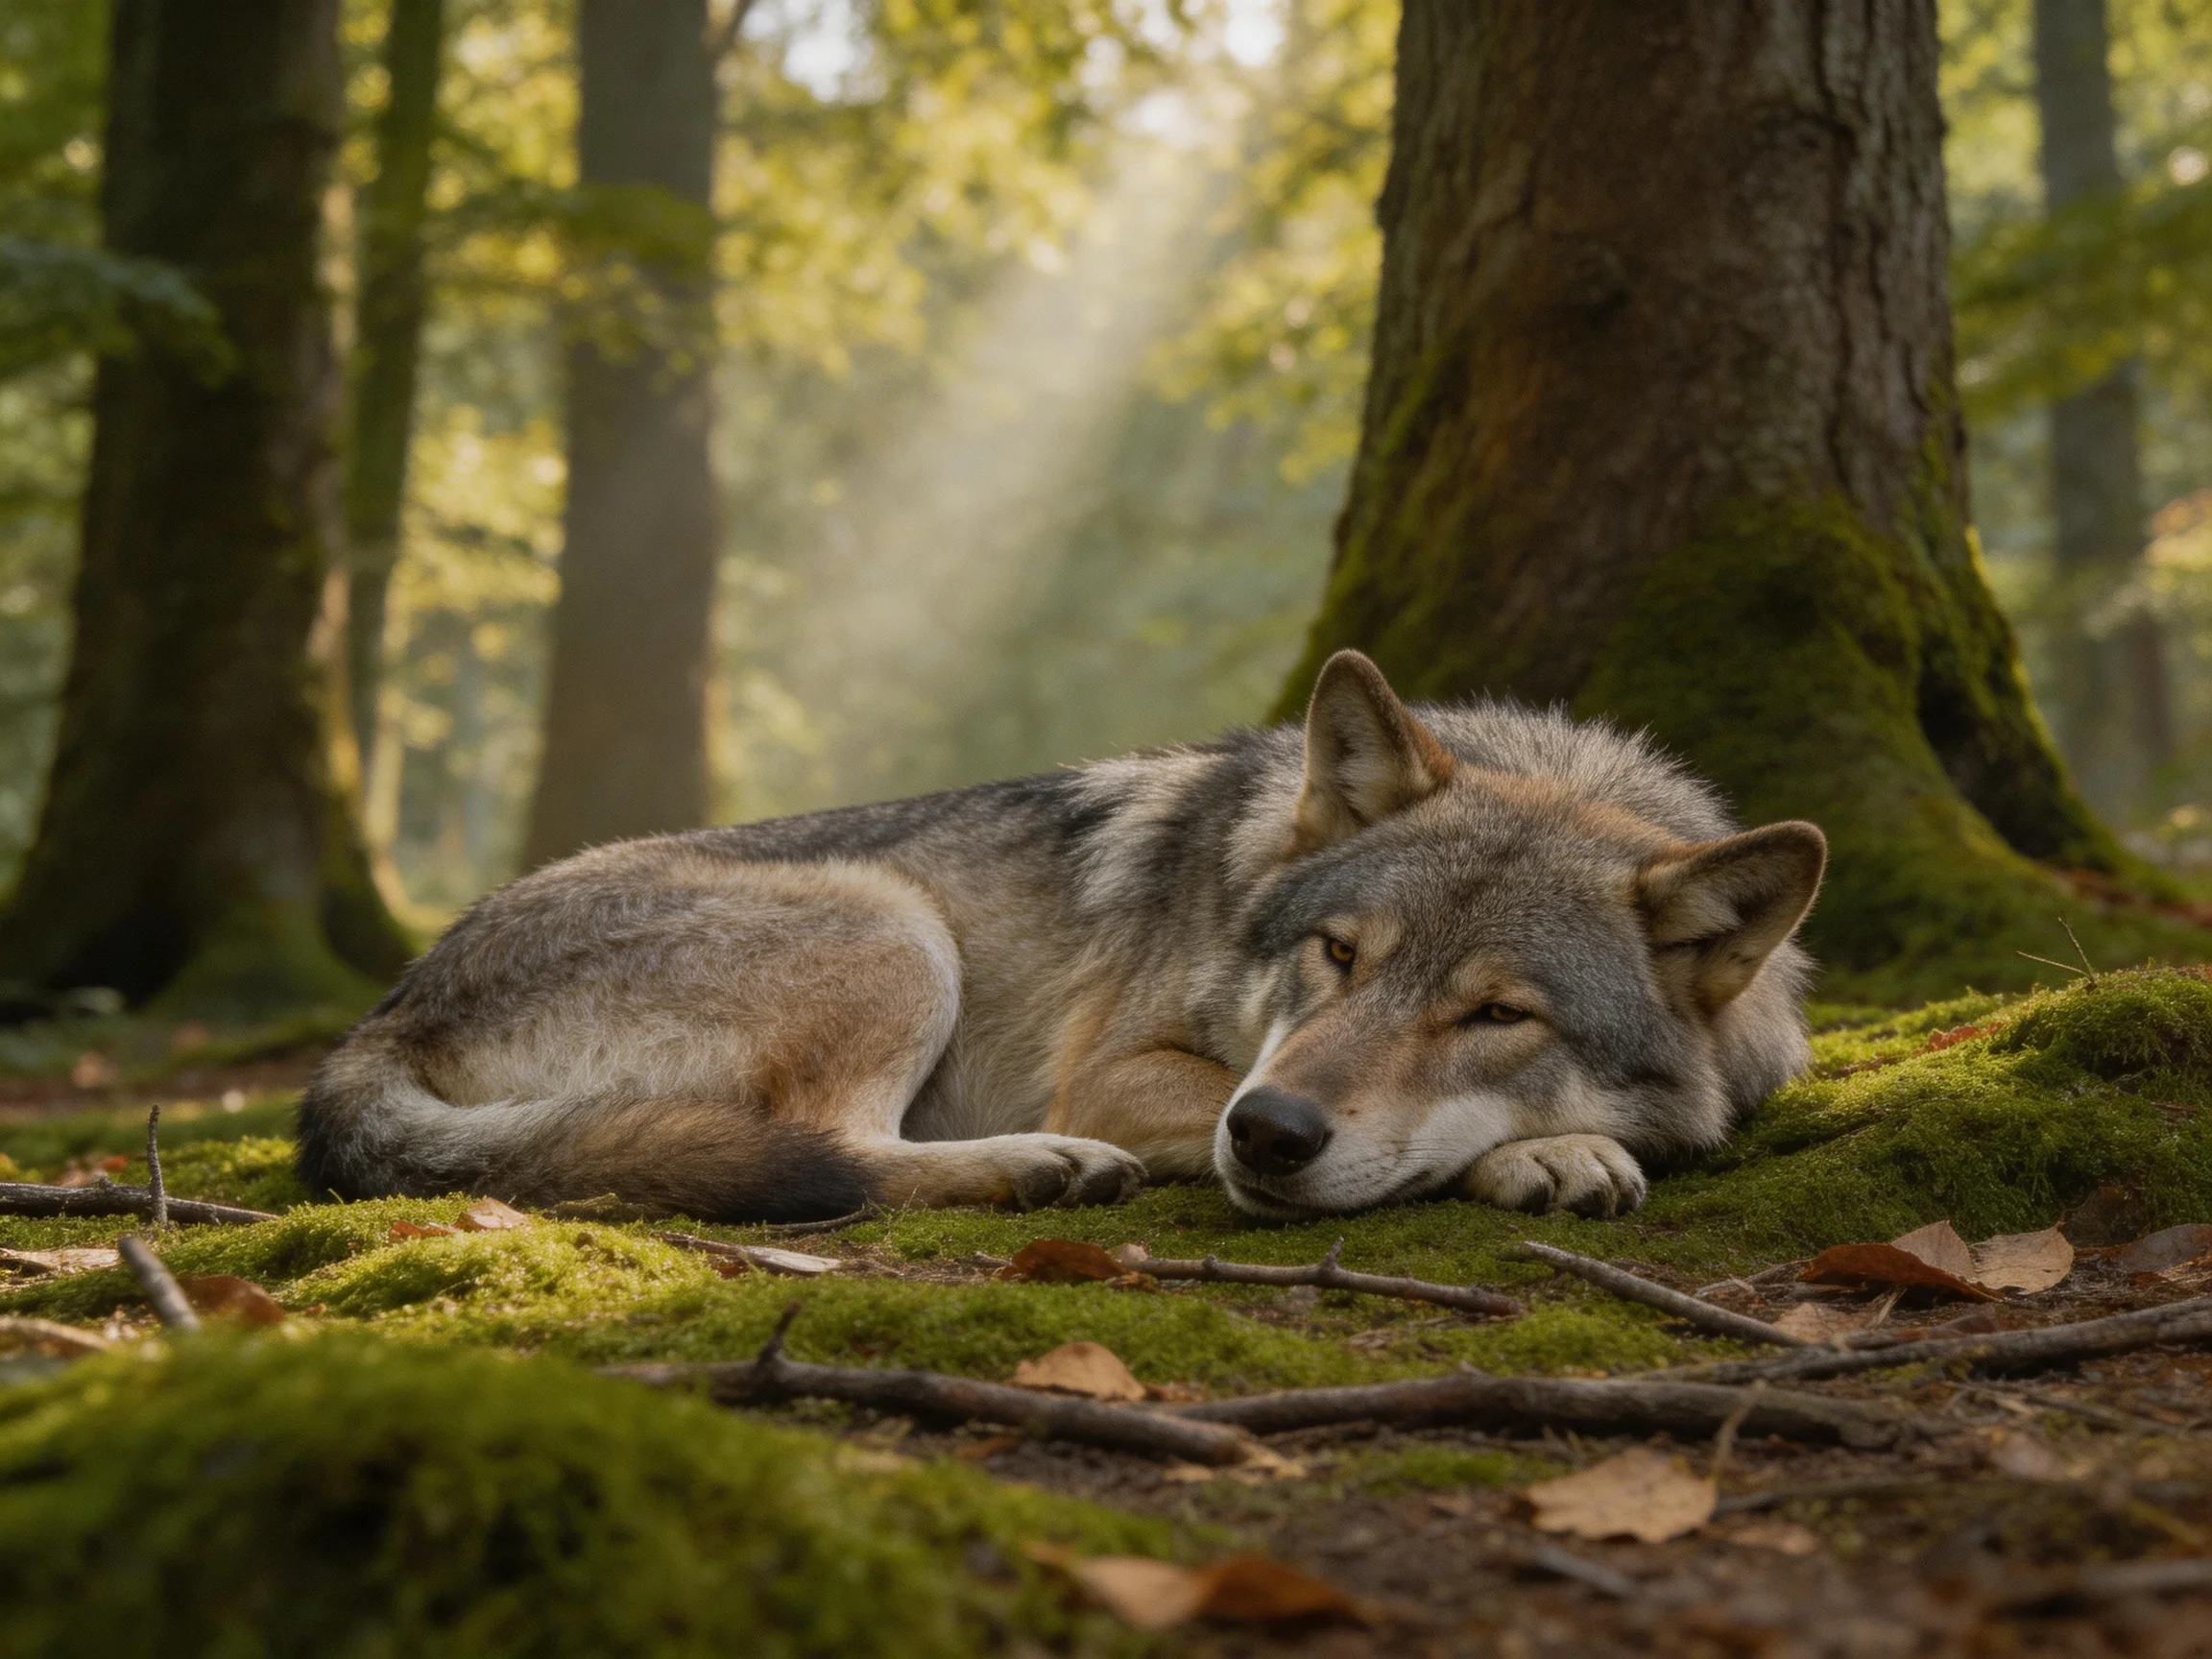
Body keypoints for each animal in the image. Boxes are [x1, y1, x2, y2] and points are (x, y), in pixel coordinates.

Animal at [297, 651, 1825, 1223]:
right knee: (838, 1148)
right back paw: (1043, 1164)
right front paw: (1553, 1152)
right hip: (893, 923)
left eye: (1499, 1014)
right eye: (1340, 958)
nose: (1272, 1135)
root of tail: (384, 1013)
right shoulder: (1128, 1070)